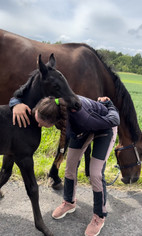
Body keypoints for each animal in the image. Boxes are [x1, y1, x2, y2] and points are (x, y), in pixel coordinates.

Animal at [0, 54, 81, 236]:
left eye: (66, 80)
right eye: (56, 85)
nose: (78, 104)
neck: (24, 120)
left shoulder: (10, 154)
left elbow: (4, 176)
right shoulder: (24, 158)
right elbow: (33, 189)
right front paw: (43, 228)